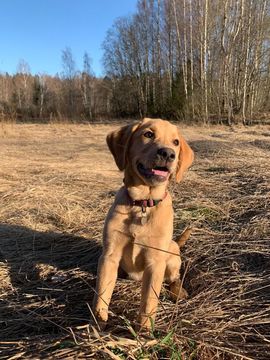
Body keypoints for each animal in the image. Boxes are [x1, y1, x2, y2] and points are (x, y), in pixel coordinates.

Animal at [93, 117, 194, 330]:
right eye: (148, 134)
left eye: (175, 142)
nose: (168, 153)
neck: (142, 203)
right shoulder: (109, 256)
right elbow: (102, 293)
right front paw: (97, 323)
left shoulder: (155, 262)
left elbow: (148, 301)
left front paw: (145, 331)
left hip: (172, 254)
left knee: (174, 278)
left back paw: (179, 291)